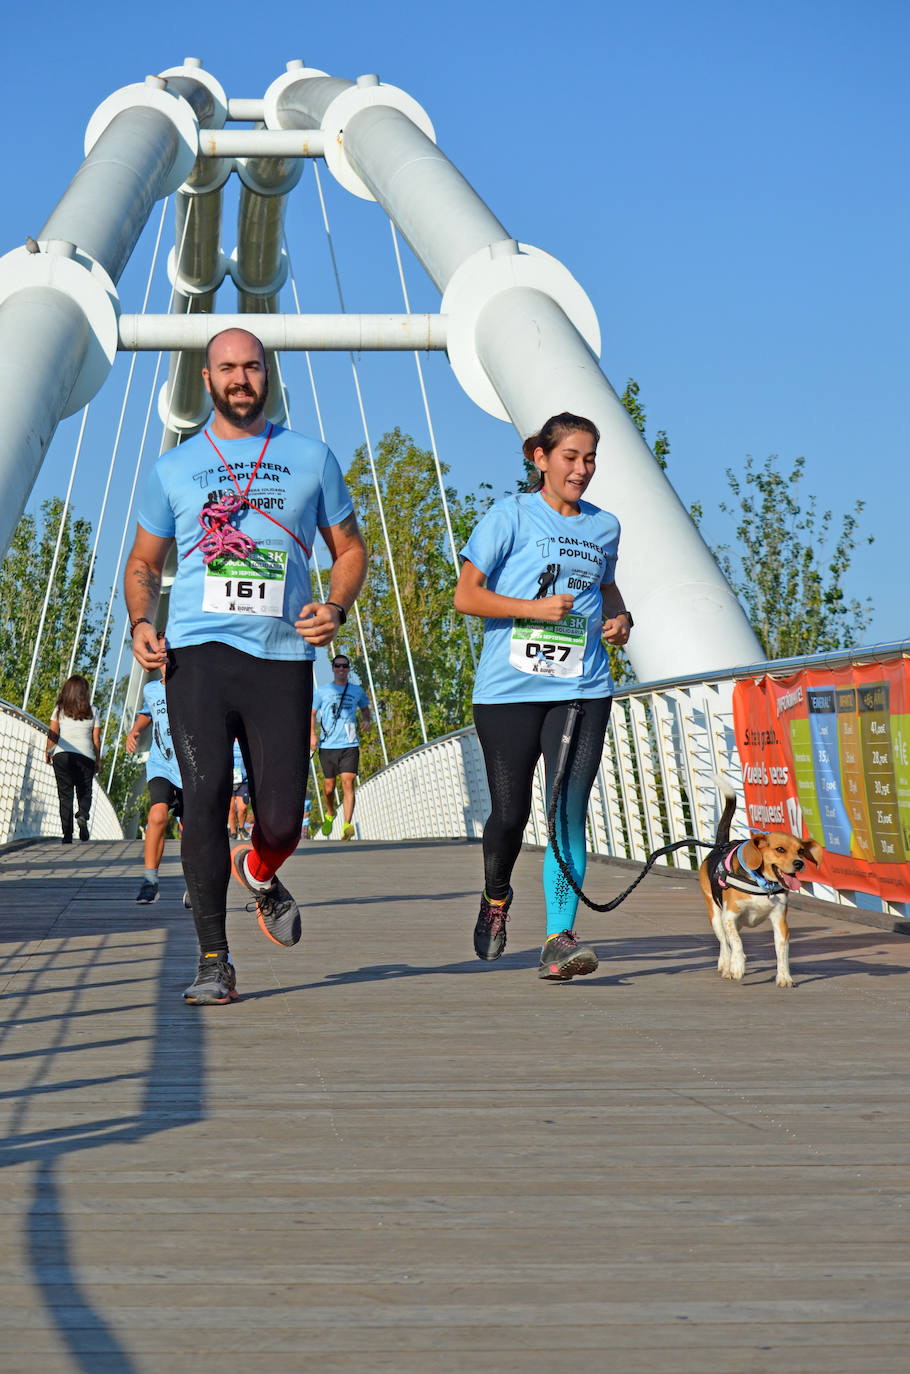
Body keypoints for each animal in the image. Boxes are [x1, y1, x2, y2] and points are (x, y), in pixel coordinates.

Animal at [701, 780, 824, 983]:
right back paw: (727, 964)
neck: (762, 884)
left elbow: (782, 952)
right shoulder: (729, 917)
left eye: (800, 851)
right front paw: (737, 967)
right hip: (716, 916)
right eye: (780, 849)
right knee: (725, 943)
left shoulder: (780, 921)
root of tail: (720, 846)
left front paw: (784, 977)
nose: (799, 864)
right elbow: (736, 942)